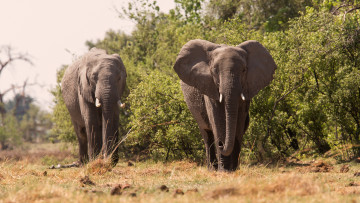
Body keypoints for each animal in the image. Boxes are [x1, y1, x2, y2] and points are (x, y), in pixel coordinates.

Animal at [173, 38, 278, 170]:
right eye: (214, 71)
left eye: (244, 70)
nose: (221, 144)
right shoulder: (209, 87)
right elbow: (217, 122)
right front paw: (223, 171)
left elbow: (239, 123)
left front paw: (233, 170)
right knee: (207, 134)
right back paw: (212, 168)